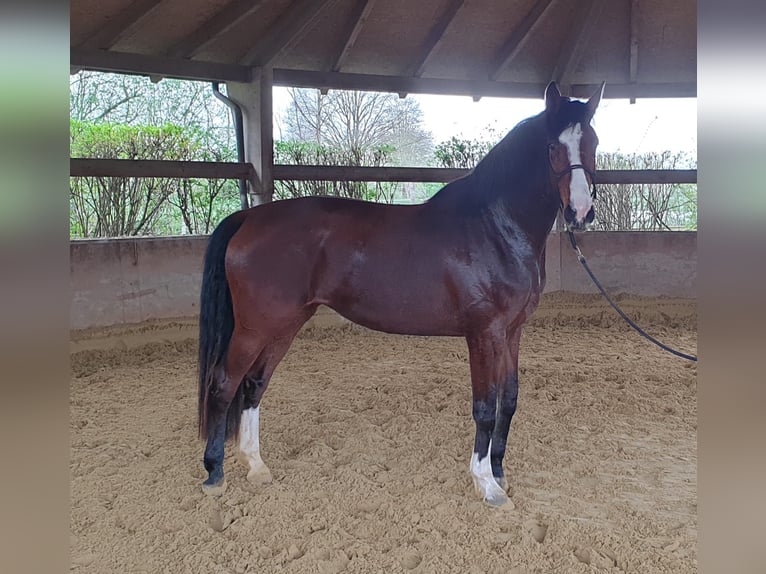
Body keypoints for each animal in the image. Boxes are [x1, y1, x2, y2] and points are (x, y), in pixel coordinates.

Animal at [197, 81, 604, 506]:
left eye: (592, 141)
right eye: (553, 146)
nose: (580, 212)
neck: (494, 227)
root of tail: (249, 217)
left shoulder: (512, 332)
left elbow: (507, 400)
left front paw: (498, 472)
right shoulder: (484, 334)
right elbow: (484, 408)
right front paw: (486, 484)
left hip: (285, 325)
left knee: (254, 384)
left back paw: (256, 465)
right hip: (255, 328)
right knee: (223, 383)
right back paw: (214, 473)